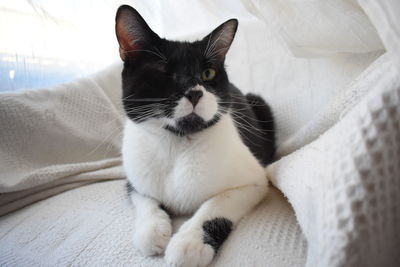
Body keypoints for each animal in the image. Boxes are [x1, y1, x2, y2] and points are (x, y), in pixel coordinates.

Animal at [115, 4, 276, 267]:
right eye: (163, 72)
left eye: (208, 73)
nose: (195, 93)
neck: (177, 142)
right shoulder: (134, 178)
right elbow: (144, 199)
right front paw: (151, 231)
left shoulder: (254, 182)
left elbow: (215, 205)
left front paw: (189, 243)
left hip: (259, 103)